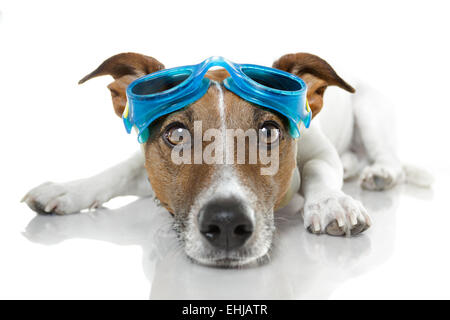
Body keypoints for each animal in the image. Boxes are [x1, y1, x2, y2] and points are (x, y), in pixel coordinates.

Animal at [22, 52, 432, 268]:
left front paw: (332, 203)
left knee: (388, 158)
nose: (226, 223)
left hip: (371, 113)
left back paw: (379, 173)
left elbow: (319, 169)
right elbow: (119, 172)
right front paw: (68, 190)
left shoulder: (318, 148)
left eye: (269, 132)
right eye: (176, 134)